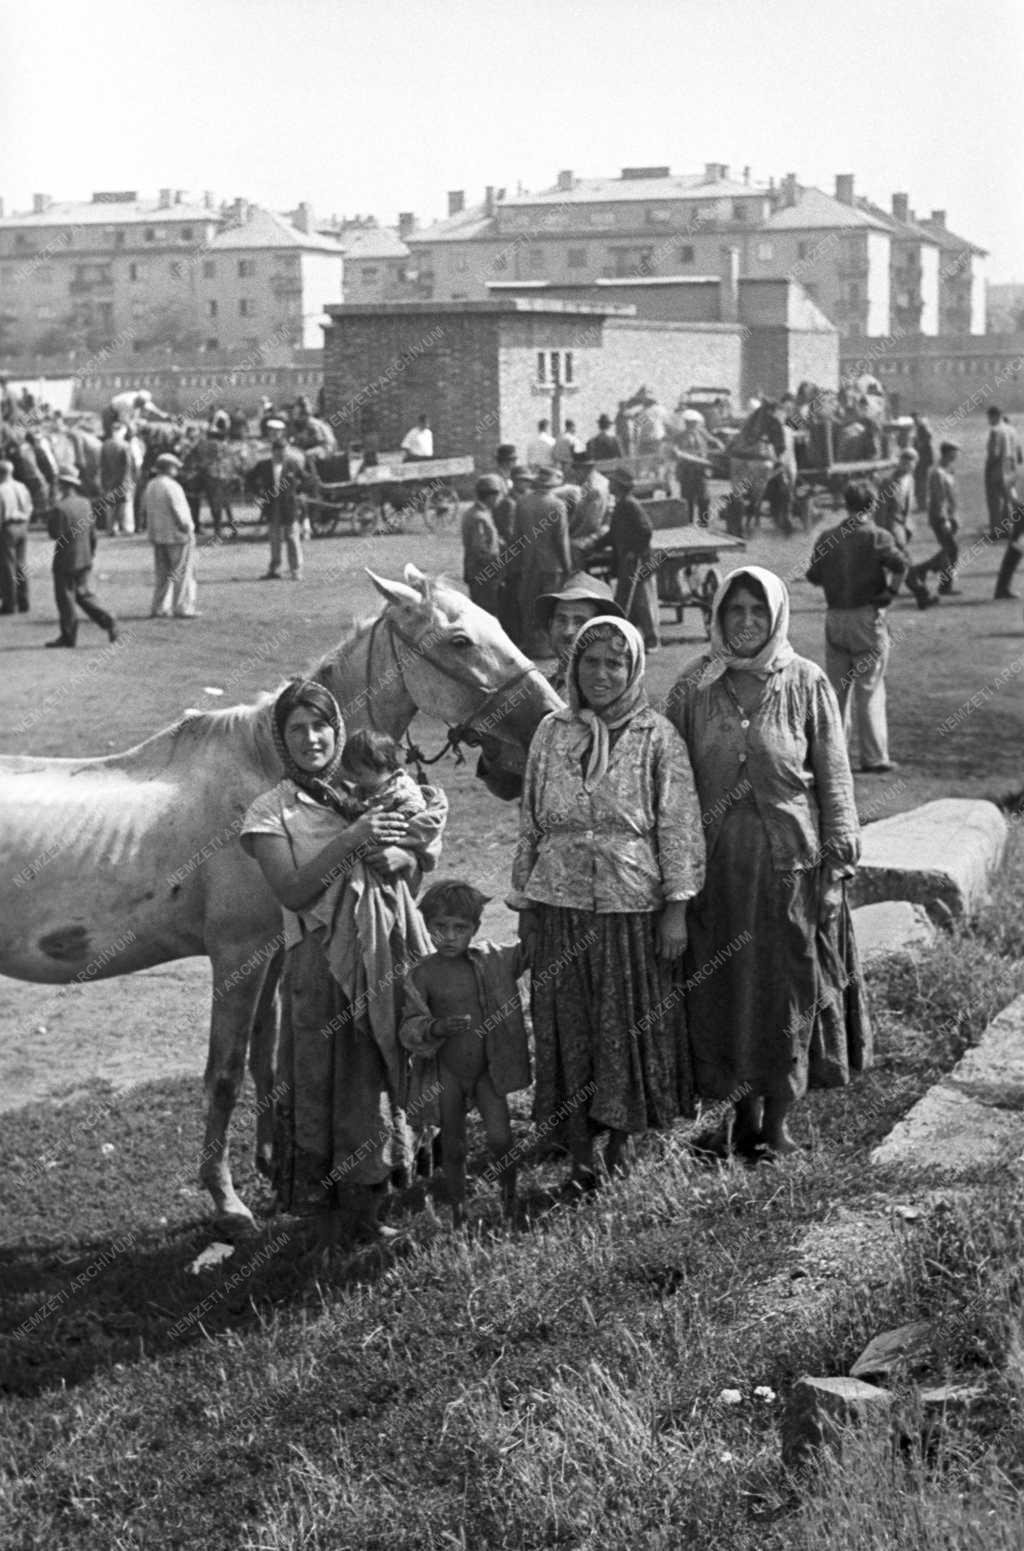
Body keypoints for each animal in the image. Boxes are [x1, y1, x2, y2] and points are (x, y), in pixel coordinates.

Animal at [0, 564, 558, 1228]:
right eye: (459, 641)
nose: (549, 716)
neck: (270, 773)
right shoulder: (236, 956)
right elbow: (223, 1074)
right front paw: (227, 1201)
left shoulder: (267, 954)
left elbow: (263, 1057)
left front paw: (272, 1165)